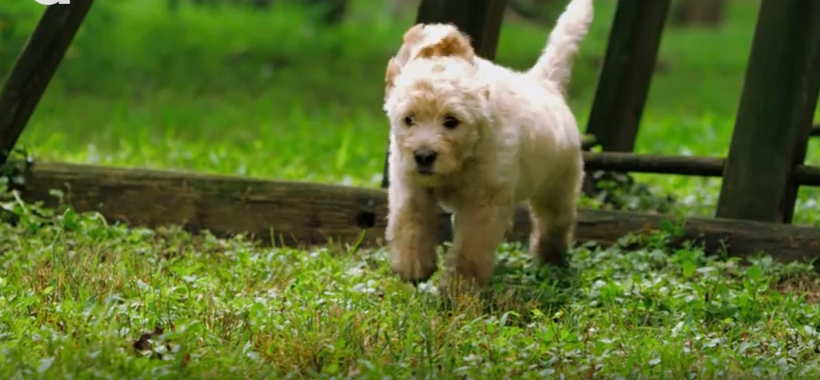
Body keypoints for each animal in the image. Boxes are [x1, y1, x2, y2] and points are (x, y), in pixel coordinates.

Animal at [382, 0, 592, 290]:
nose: (423, 156)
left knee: (555, 223)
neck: (463, 158)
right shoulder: (410, 182)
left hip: (558, 187)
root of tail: (545, 85)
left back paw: (552, 261)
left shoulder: (484, 201)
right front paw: (413, 266)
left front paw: (460, 286)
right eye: (408, 119)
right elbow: (410, 222)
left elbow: (471, 246)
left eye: (451, 121)